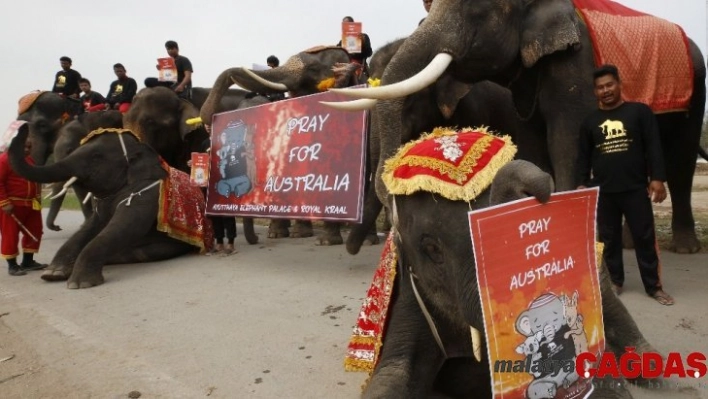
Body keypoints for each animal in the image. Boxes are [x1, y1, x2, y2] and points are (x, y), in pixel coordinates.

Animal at [8, 123, 207, 290]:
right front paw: (53, 274)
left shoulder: (148, 194)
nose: (23, 126)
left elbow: (125, 227)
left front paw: (80, 284)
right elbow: (91, 226)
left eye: (96, 157)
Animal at [334, 0, 708, 255]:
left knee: (681, 162)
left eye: (474, 10)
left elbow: (567, 136)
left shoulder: (575, 57)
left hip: (696, 87)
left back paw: (685, 247)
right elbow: (533, 141)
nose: (356, 247)